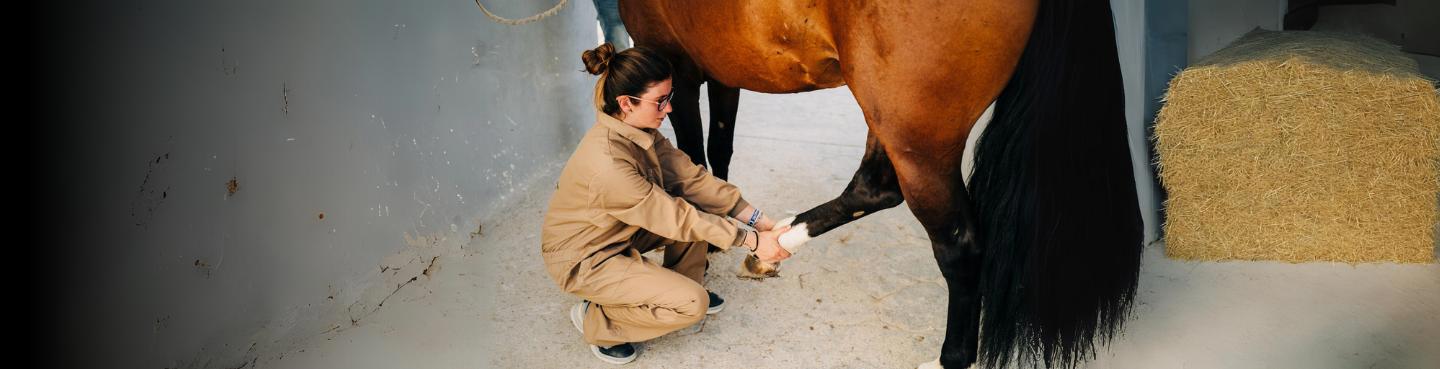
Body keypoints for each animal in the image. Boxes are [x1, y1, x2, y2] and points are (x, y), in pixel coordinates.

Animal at [619, 1, 1146, 367]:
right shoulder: (724, 69)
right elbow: (718, 151)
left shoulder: (676, 64)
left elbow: (693, 155)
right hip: (885, 112)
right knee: (874, 187)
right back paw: (778, 242)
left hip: (913, 138)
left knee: (958, 244)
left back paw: (951, 358)